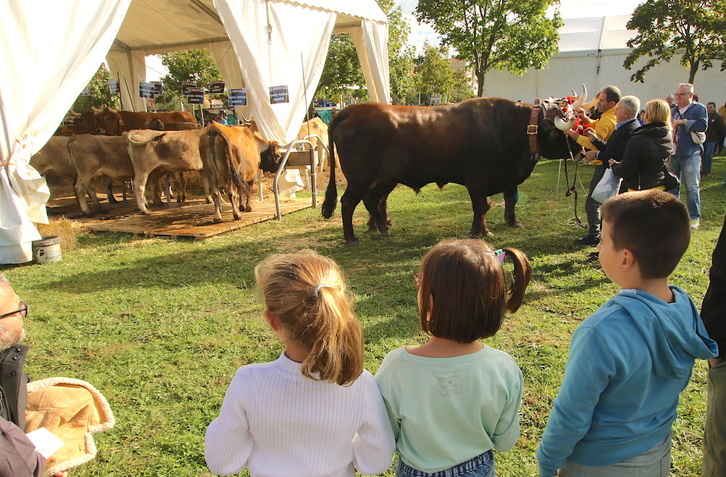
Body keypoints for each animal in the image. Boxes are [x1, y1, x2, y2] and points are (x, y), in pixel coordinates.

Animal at [322, 97, 584, 245]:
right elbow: (482, 205)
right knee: (349, 202)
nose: (582, 151)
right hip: (360, 178)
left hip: (383, 178)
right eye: (567, 133)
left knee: (372, 200)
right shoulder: (477, 178)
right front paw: (478, 232)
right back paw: (351, 238)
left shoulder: (500, 179)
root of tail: (352, 110)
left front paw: (492, 228)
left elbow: (498, 202)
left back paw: (382, 228)